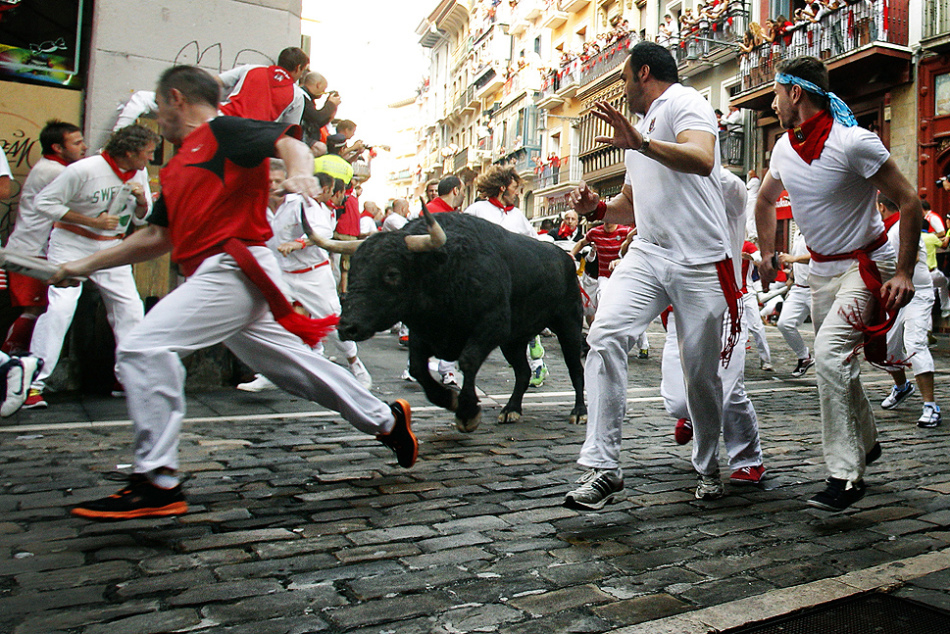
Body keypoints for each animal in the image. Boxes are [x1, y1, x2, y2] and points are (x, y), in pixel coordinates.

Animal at [334, 211, 588, 430]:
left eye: (392, 273)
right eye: (353, 270)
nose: (347, 327)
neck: (447, 267)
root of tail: (565, 258)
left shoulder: (491, 327)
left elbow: (467, 361)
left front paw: (467, 413)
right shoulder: (423, 333)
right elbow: (417, 367)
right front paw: (448, 399)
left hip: (569, 325)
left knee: (575, 367)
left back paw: (579, 412)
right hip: (514, 340)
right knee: (523, 372)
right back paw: (511, 409)